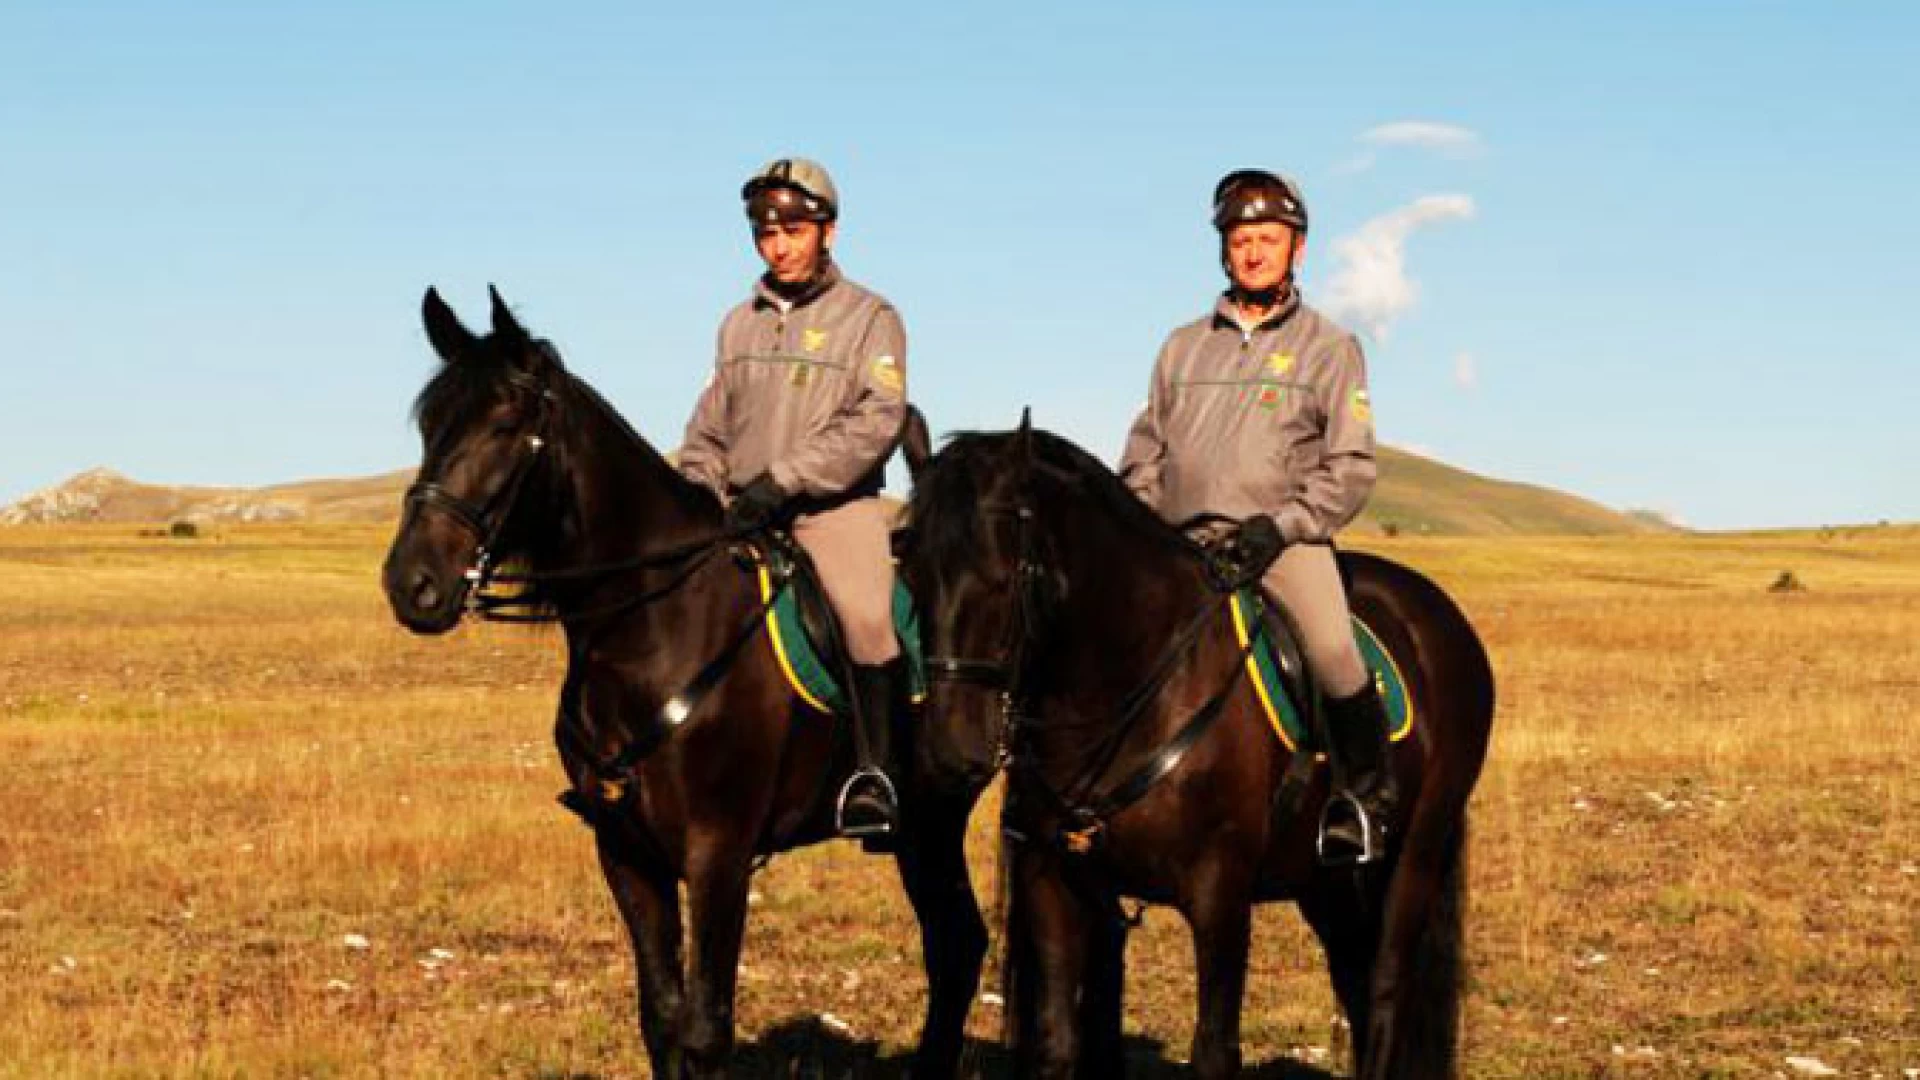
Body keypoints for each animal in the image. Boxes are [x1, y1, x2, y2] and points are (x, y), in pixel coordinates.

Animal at [384, 288, 998, 1076]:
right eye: (430, 424)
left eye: (507, 424)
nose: (412, 583)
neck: (653, 629)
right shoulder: (626, 853)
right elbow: (663, 1020)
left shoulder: (718, 853)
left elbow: (706, 1030)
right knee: (955, 945)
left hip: (934, 817)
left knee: (958, 946)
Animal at [898, 420, 1497, 1076]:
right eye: (910, 575)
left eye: (1004, 579)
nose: (950, 749)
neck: (1136, 691)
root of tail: (1437, 615)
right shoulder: (1053, 884)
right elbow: (1059, 1042)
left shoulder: (1220, 897)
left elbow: (1214, 1048)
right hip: (1329, 884)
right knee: (1357, 983)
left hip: (1414, 856)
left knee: (1387, 988)